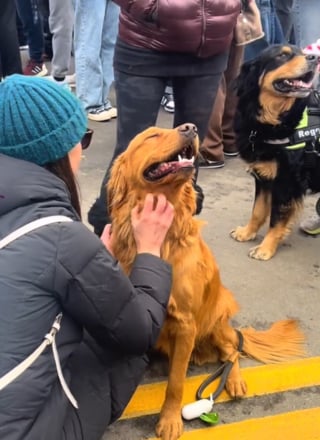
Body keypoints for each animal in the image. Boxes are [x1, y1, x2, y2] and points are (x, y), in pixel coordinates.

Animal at [230, 43, 320, 262]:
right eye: (282, 55)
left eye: (302, 53)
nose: (314, 58)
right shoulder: (264, 176)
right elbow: (258, 210)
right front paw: (247, 232)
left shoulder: (286, 181)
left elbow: (276, 218)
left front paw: (266, 248)